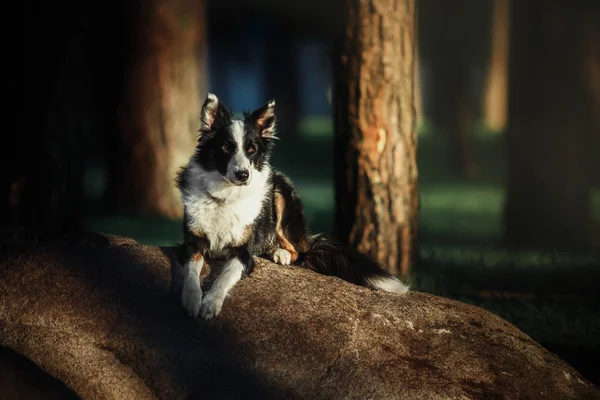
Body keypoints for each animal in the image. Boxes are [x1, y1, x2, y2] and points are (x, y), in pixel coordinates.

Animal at [173, 93, 408, 318]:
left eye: (251, 149)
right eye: (226, 147)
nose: (243, 175)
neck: (224, 196)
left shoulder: (243, 252)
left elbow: (224, 276)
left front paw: (211, 304)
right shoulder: (192, 242)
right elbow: (192, 272)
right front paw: (192, 299)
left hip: (281, 197)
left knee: (297, 252)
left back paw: (281, 253)